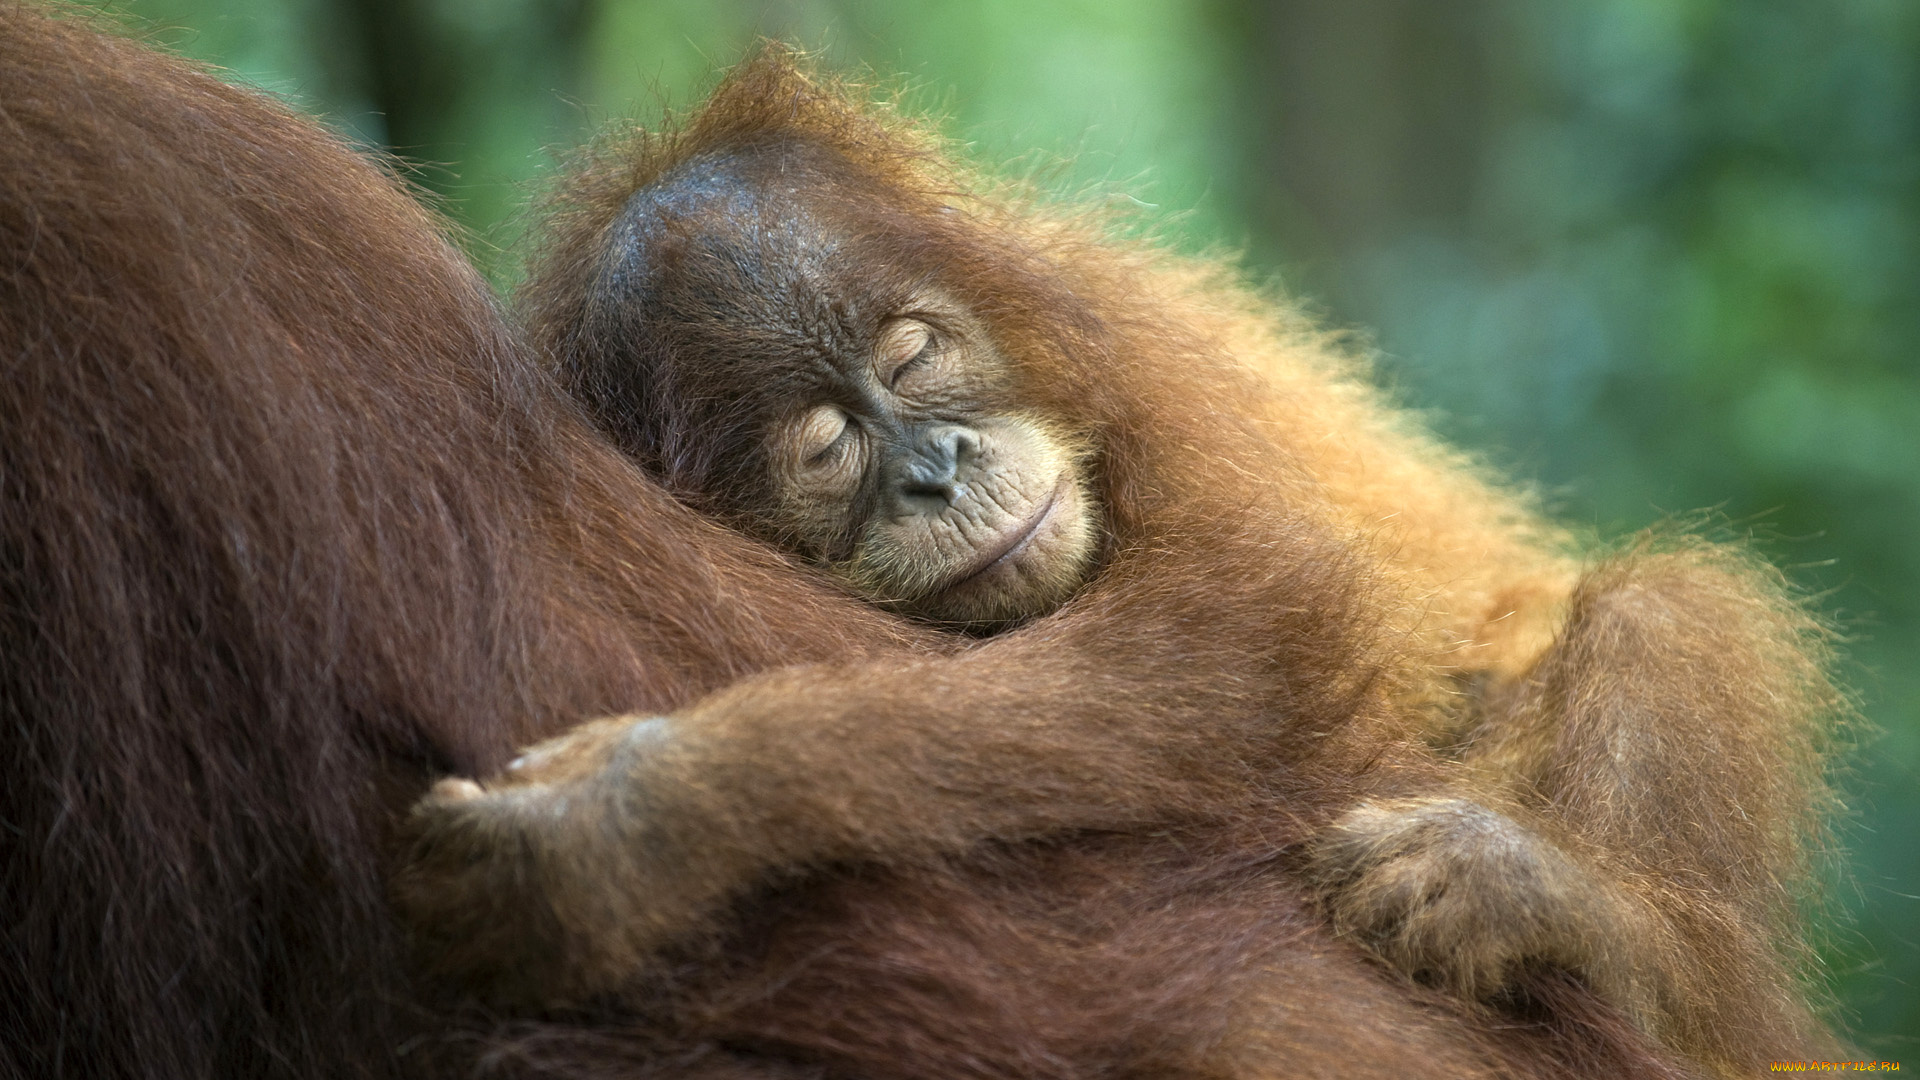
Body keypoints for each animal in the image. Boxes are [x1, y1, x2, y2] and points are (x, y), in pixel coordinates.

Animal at [392, 49, 1847, 1079]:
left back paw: (1577, 922)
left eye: (912, 353)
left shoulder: (1122, 351)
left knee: (1663, 608)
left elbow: (1251, 622)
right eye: (827, 446)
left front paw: (641, 812)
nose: (936, 470)